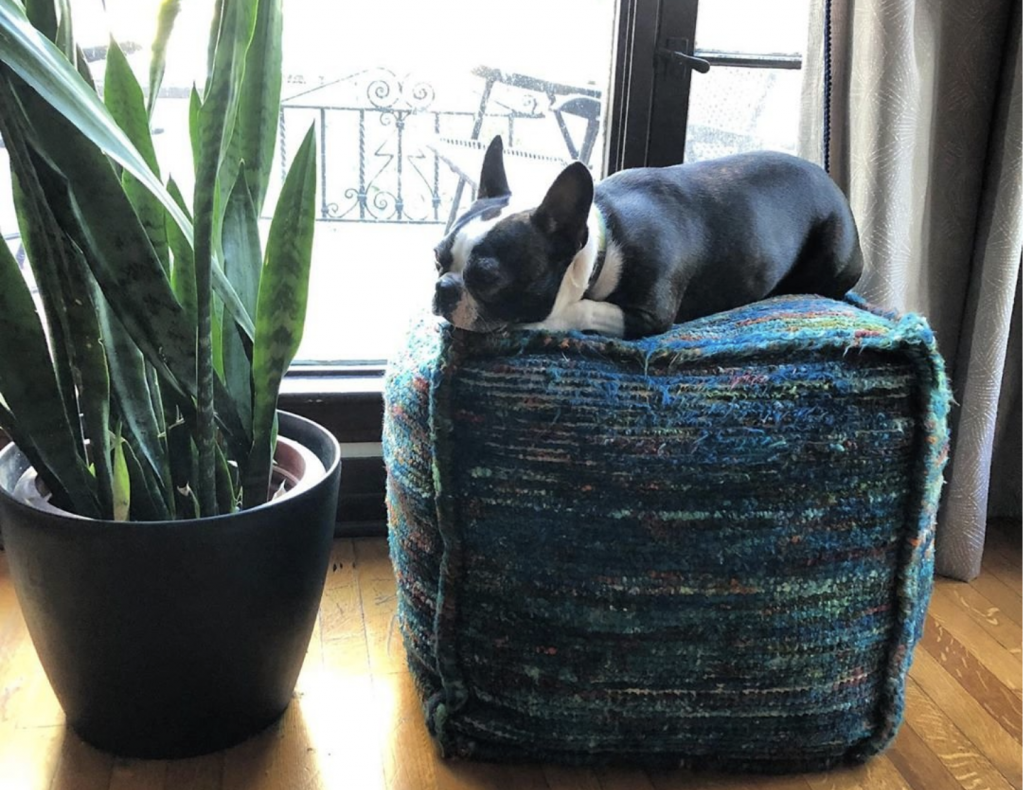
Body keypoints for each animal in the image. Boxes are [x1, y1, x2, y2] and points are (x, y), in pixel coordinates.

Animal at [432, 136, 864, 340]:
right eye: (436, 259)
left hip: (833, 258)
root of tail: (832, 184)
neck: (604, 245)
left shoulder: (650, 317)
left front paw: (541, 321)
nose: (443, 288)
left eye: (488, 278)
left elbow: (580, 309)